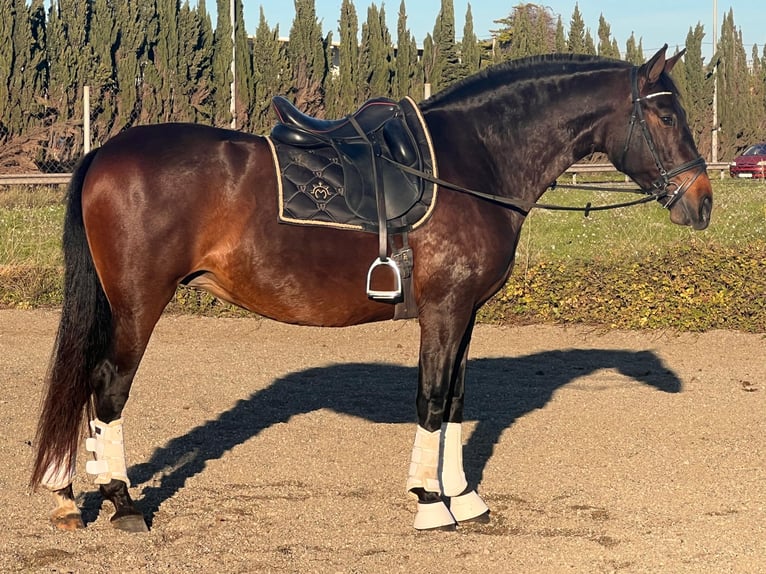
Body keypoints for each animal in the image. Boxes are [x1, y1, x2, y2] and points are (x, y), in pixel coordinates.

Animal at [30, 46, 712, 536]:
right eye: (666, 114)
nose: (702, 203)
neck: (474, 162)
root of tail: (104, 153)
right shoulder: (443, 311)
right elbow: (432, 399)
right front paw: (431, 503)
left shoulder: (464, 314)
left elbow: (455, 399)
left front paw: (464, 498)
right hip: (139, 303)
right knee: (107, 387)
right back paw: (121, 503)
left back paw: (69, 493)